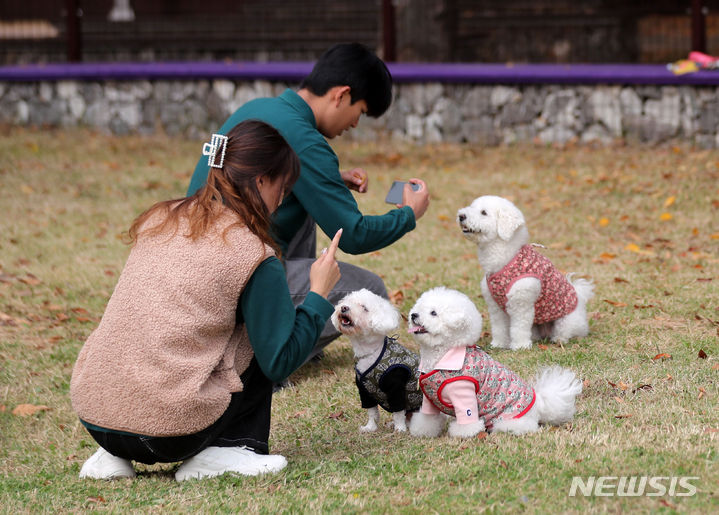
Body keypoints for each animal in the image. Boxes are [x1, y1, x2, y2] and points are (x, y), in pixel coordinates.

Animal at [334, 290, 424, 432]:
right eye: (347, 302)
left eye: (364, 308)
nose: (344, 308)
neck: (371, 352)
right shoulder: (364, 390)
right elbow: (372, 412)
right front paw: (370, 427)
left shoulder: (396, 386)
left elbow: (398, 412)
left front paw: (399, 429)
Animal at [408, 288, 584, 438]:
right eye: (419, 308)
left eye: (433, 313)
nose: (413, 315)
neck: (442, 355)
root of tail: (539, 404)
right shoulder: (429, 400)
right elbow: (426, 419)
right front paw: (422, 431)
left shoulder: (464, 394)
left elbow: (468, 421)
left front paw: (464, 433)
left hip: (508, 419)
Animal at [458, 195, 592, 350]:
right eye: (471, 206)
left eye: (483, 212)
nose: (461, 216)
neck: (506, 257)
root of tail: (580, 298)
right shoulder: (495, 307)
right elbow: (499, 328)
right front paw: (499, 344)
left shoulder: (521, 304)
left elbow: (519, 328)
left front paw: (520, 346)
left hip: (565, 321)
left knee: (566, 332)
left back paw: (559, 339)